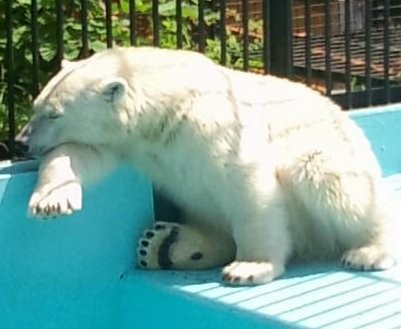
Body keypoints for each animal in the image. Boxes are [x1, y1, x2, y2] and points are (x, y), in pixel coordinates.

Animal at [23, 46, 398, 284]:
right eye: (37, 105)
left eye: (54, 114)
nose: (23, 140)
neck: (168, 104)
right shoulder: (130, 141)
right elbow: (82, 155)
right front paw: (51, 201)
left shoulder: (218, 125)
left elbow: (248, 187)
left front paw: (249, 268)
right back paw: (165, 244)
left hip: (333, 155)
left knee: (333, 182)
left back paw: (369, 250)